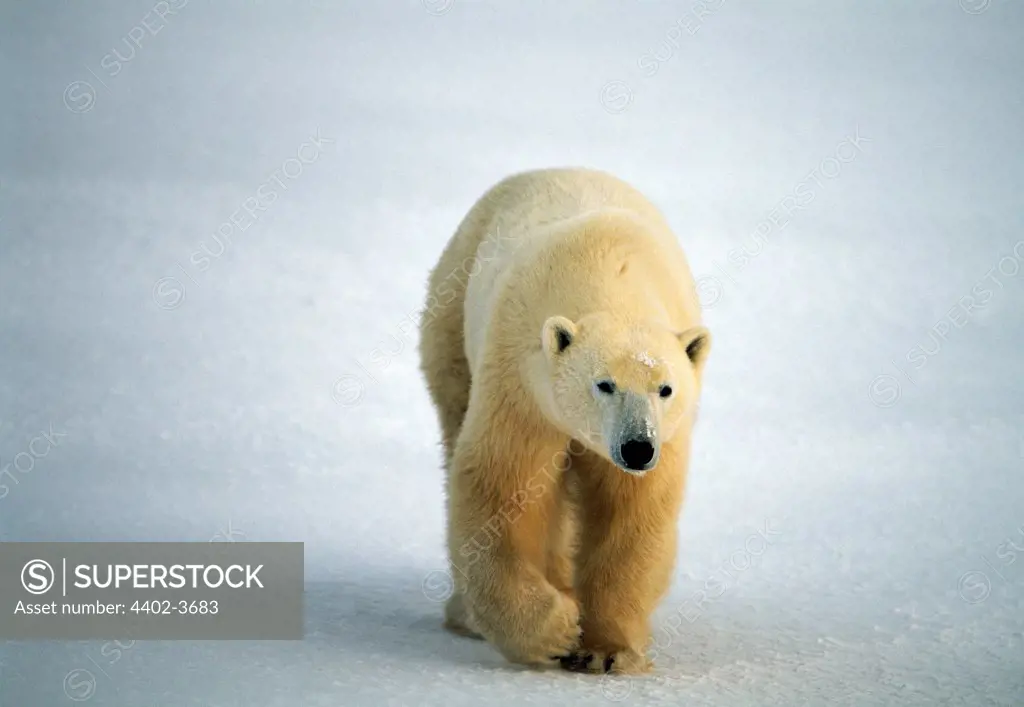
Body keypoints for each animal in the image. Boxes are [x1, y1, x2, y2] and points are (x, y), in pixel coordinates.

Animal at [411, 164, 708, 672]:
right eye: (604, 384)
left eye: (665, 389)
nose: (637, 447)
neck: (606, 271)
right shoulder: (522, 379)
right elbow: (503, 487)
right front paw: (555, 631)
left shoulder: (665, 435)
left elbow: (632, 511)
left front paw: (608, 650)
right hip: (452, 308)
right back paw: (467, 614)